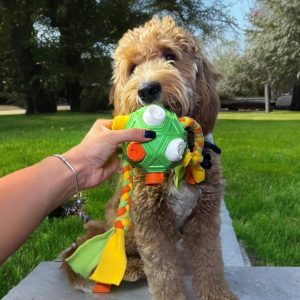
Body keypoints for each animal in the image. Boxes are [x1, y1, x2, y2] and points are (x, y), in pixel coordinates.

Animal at [63, 16, 237, 300]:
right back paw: (132, 269)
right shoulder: (151, 222)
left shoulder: (205, 216)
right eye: (133, 68)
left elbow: (209, 260)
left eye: (170, 56)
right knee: (119, 252)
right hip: (127, 228)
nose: (147, 89)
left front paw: (217, 293)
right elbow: (163, 270)